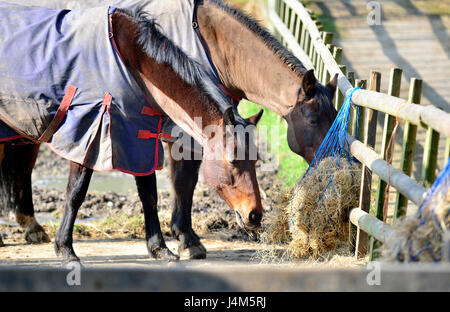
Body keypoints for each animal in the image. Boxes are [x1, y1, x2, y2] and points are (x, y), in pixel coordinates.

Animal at [0, 0, 338, 258]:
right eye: (313, 120)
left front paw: (166, 245)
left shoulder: (141, 133)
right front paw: (187, 240)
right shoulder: (100, 132)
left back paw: (30, 226)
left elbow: (152, 192)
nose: (255, 215)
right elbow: (177, 184)